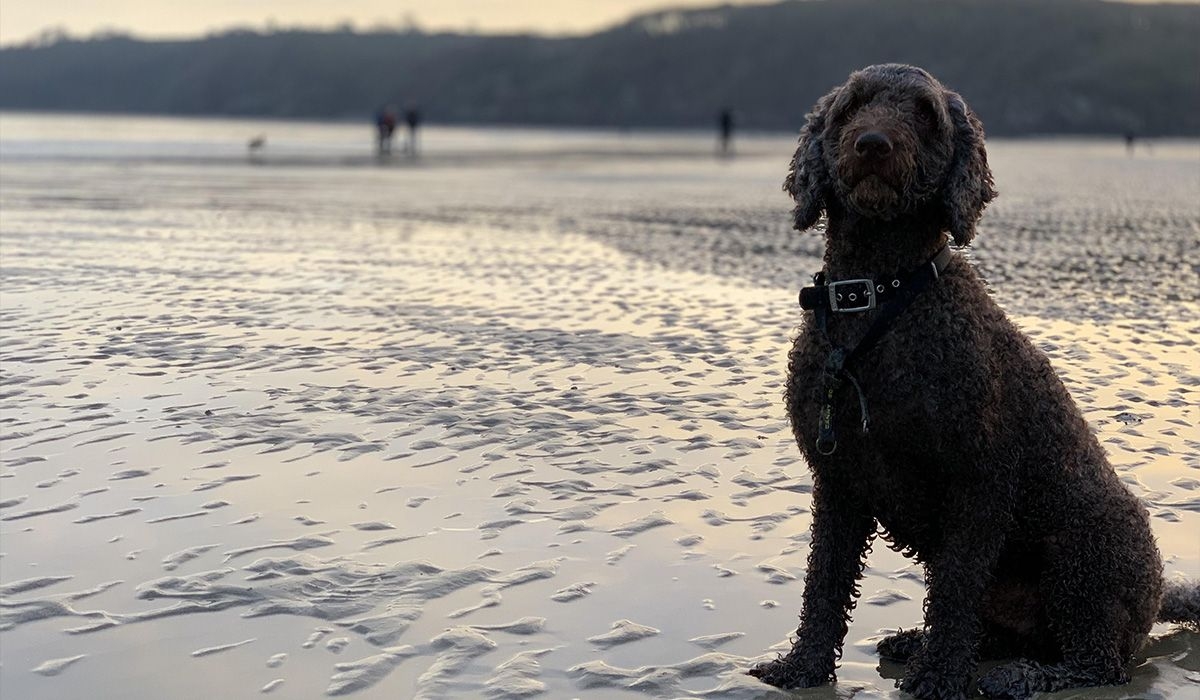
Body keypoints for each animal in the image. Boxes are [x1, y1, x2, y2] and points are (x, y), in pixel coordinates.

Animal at [744, 63, 1195, 696]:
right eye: (852, 107)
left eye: (925, 114)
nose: (872, 144)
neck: (881, 296)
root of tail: (1157, 598)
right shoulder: (838, 483)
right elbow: (825, 586)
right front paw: (804, 666)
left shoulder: (977, 484)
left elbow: (955, 591)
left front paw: (939, 678)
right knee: (1006, 632)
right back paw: (922, 643)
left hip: (1082, 554)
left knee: (1096, 661)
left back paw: (1024, 676)